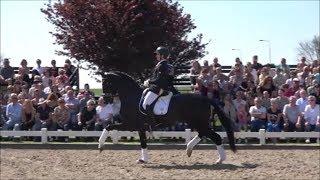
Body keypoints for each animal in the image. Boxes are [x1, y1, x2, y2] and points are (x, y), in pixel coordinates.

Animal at [99, 71, 236, 164]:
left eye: (105, 83)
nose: (104, 100)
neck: (131, 96)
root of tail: (205, 98)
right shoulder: (140, 127)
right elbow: (143, 142)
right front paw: (143, 159)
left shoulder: (130, 124)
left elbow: (109, 126)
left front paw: (100, 146)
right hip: (196, 123)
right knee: (203, 134)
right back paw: (189, 149)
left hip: (198, 122)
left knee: (215, 137)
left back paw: (220, 159)